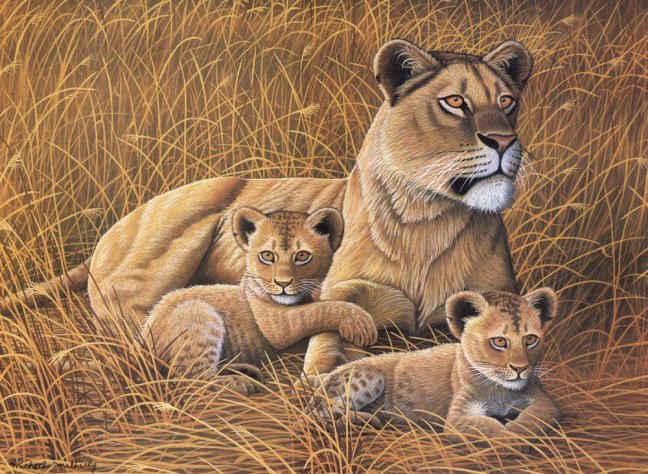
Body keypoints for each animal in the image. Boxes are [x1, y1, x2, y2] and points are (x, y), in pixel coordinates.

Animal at [1, 39, 533, 376]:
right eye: (455, 102)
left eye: (507, 101)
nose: (506, 141)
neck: (433, 218)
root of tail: (111, 231)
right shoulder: (344, 289)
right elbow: (327, 330)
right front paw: (325, 372)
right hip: (188, 226)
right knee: (127, 316)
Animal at [309, 288, 560, 440]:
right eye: (499, 341)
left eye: (530, 339)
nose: (520, 369)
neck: (499, 389)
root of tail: (326, 375)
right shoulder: (458, 416)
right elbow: (488, 426)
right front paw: (508, 436)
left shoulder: (544, 401)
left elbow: (534, 417)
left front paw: (516, 430)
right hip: (370, 376)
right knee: (316, 418)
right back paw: (365, 420)